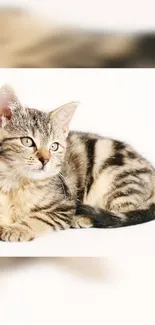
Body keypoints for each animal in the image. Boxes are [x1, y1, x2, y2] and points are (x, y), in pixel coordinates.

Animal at [0, 83, 155, 240]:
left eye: (54, 146)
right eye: (27, 141)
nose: (45, 160)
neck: (15, 183)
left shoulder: (63, 206)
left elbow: (38, 218)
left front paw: (17, 228)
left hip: (118, 179)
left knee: (122, 212)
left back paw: (82, 218)